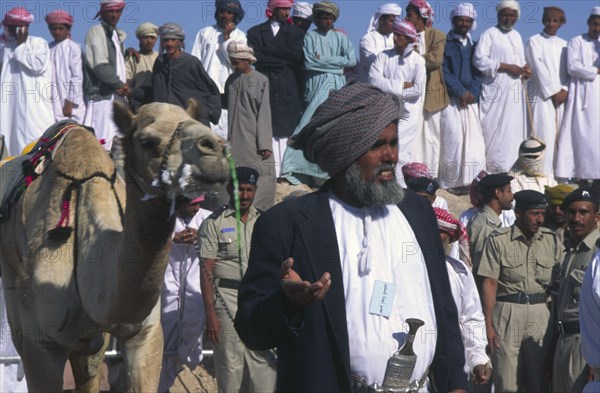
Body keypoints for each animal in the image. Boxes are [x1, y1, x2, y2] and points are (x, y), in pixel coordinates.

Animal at [0, 100, 230, 388]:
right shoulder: (39, 345)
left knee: (87, 366)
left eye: (199, 122)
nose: (215, 148)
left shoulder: (145, 333)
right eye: (146, 141)